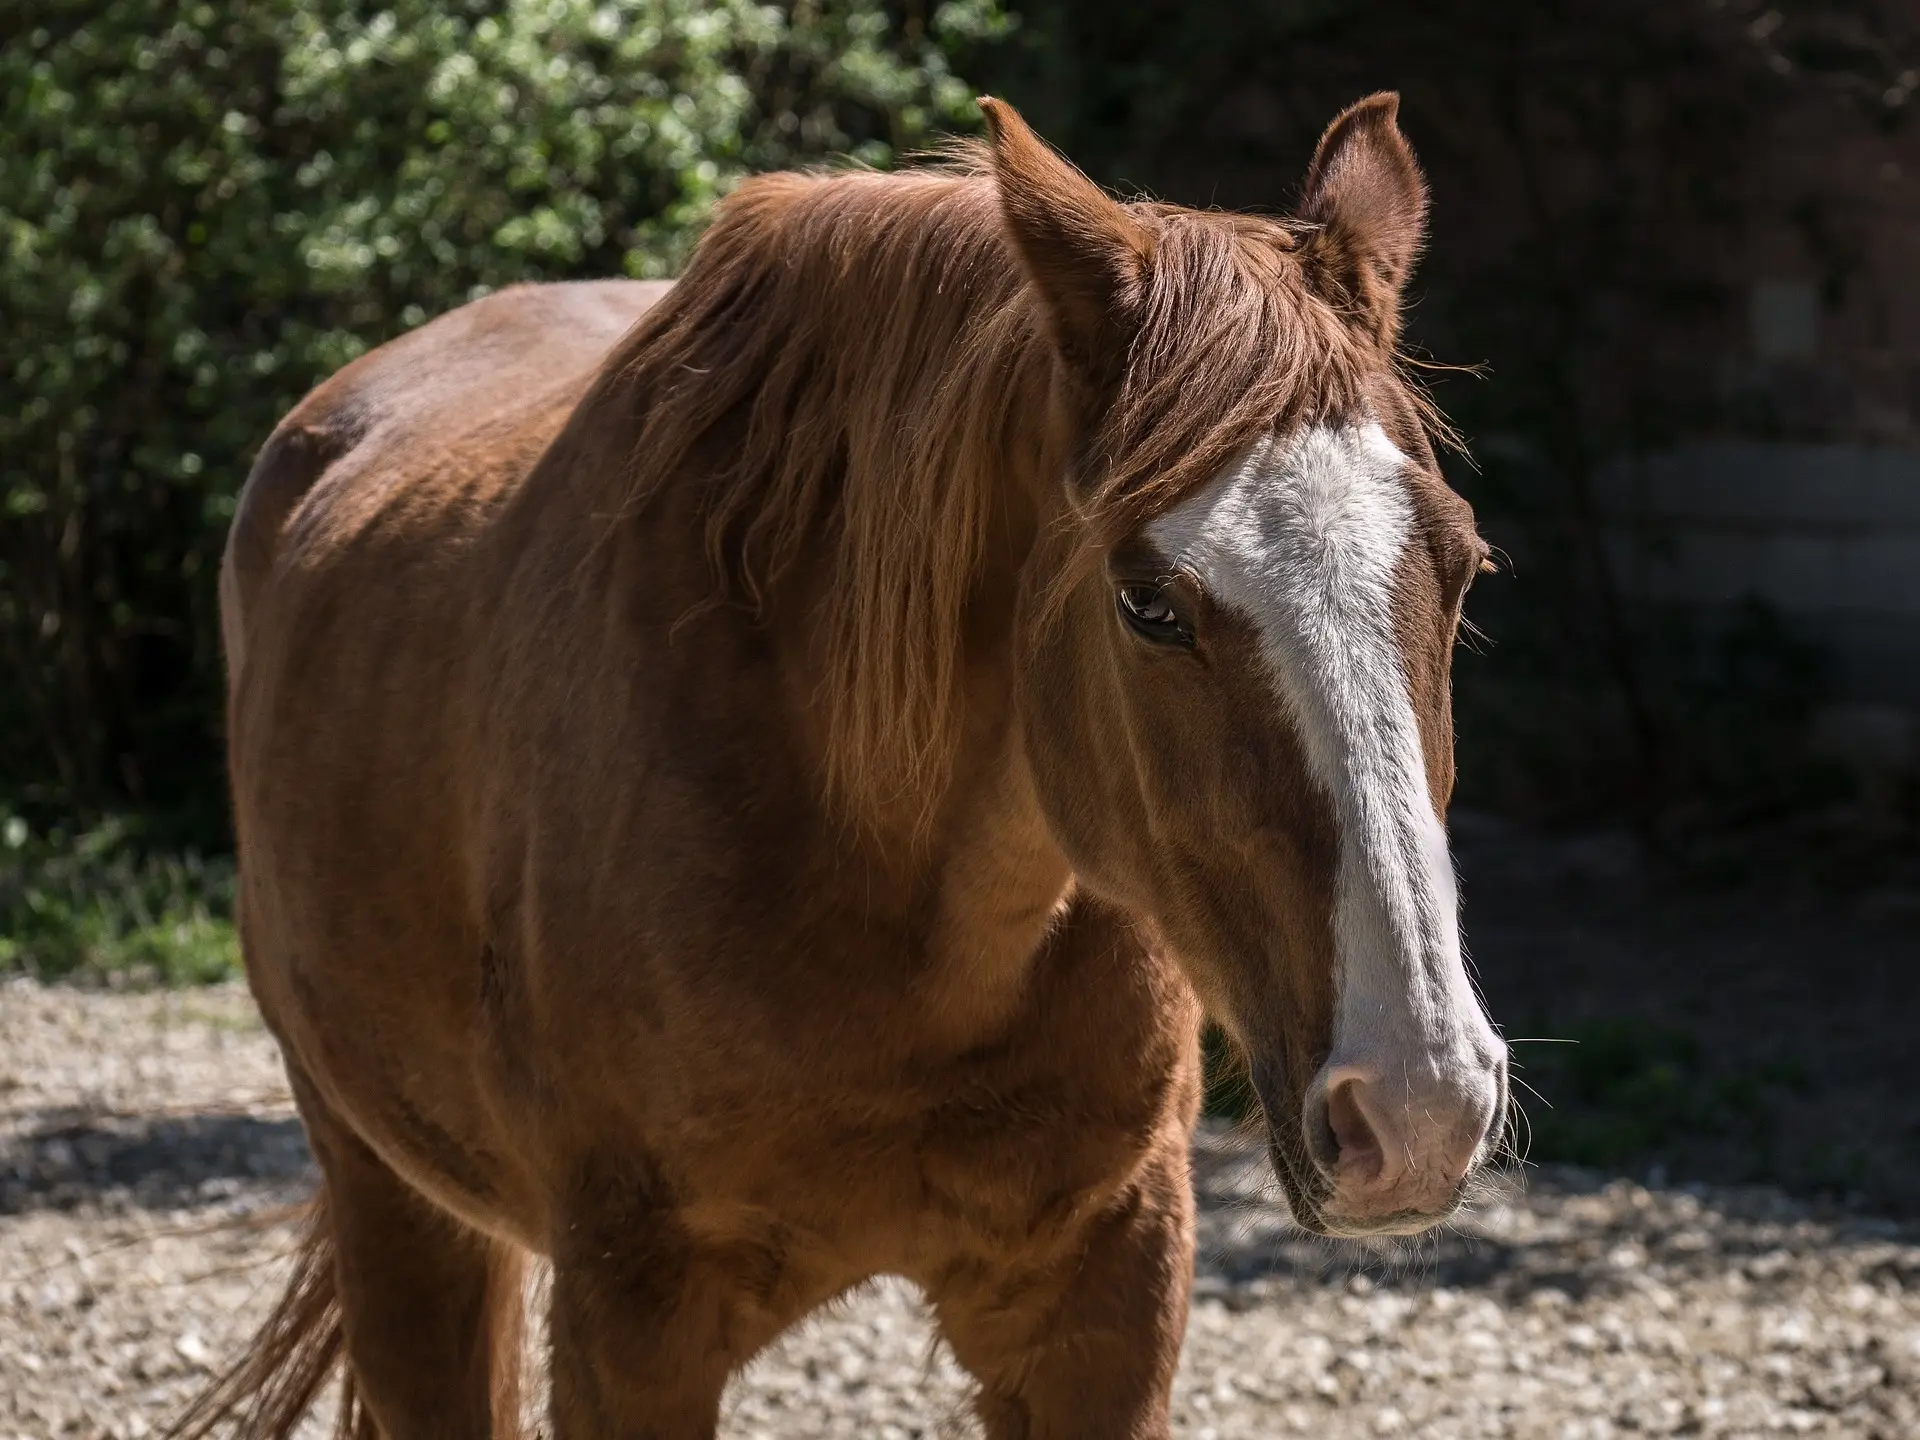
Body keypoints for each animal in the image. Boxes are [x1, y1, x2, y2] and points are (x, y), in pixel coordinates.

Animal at [180, 96, 1505, 1436]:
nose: (1419, 1105)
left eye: (1463, 567)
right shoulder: (630, 1322)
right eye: (1148, 604)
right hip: (388, 1200)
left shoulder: (1108, 1288)